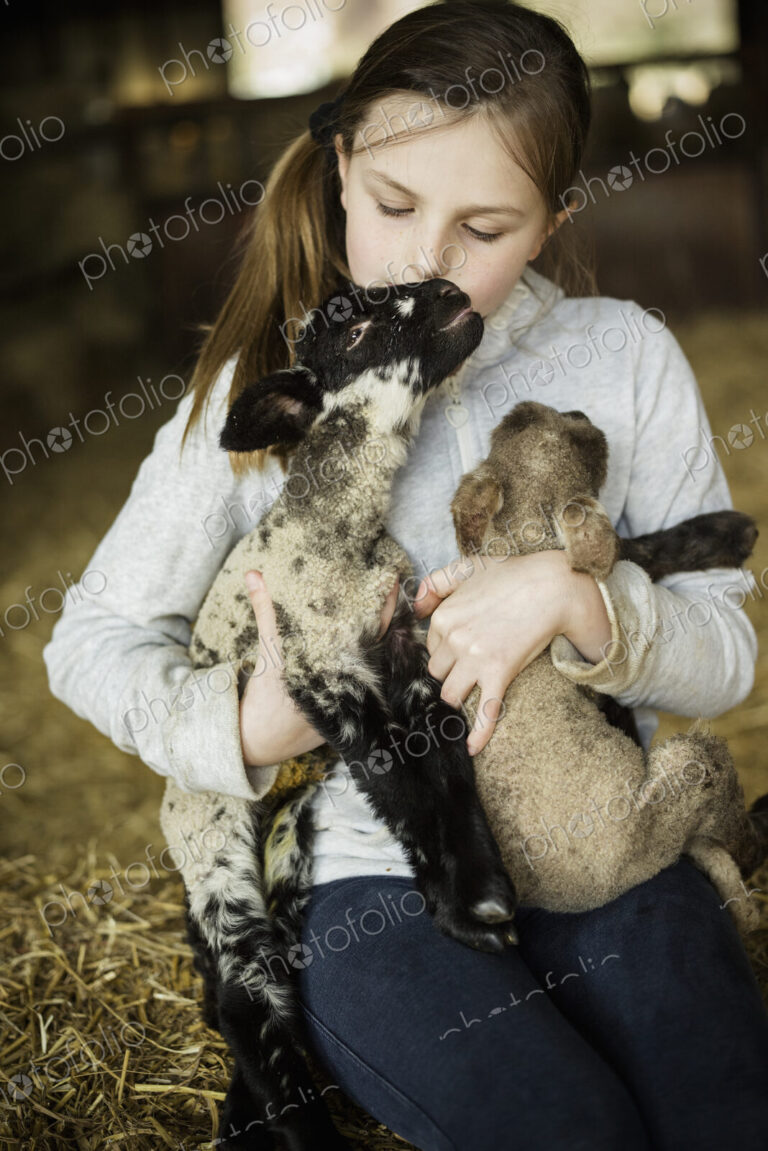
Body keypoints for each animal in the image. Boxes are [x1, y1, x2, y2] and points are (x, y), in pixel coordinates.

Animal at [160, 276, 520, 1150]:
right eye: (353, 328)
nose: (452, 290)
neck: (343, 533)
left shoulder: (406, 653)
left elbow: (444, 776)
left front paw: (480, 896)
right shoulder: (327, 679)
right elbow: (404, 782)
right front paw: (469, 913)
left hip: (288, 840)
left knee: (267, 975)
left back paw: (243, 1109)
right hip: (212, 836)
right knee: (243, 989)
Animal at [451, 400, 768, 934]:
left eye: (519, 420)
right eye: (584, 442)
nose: (579, 410)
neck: (520, 540)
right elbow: (638, 550)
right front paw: (731, 531)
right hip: (685, 771)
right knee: (723, 825)